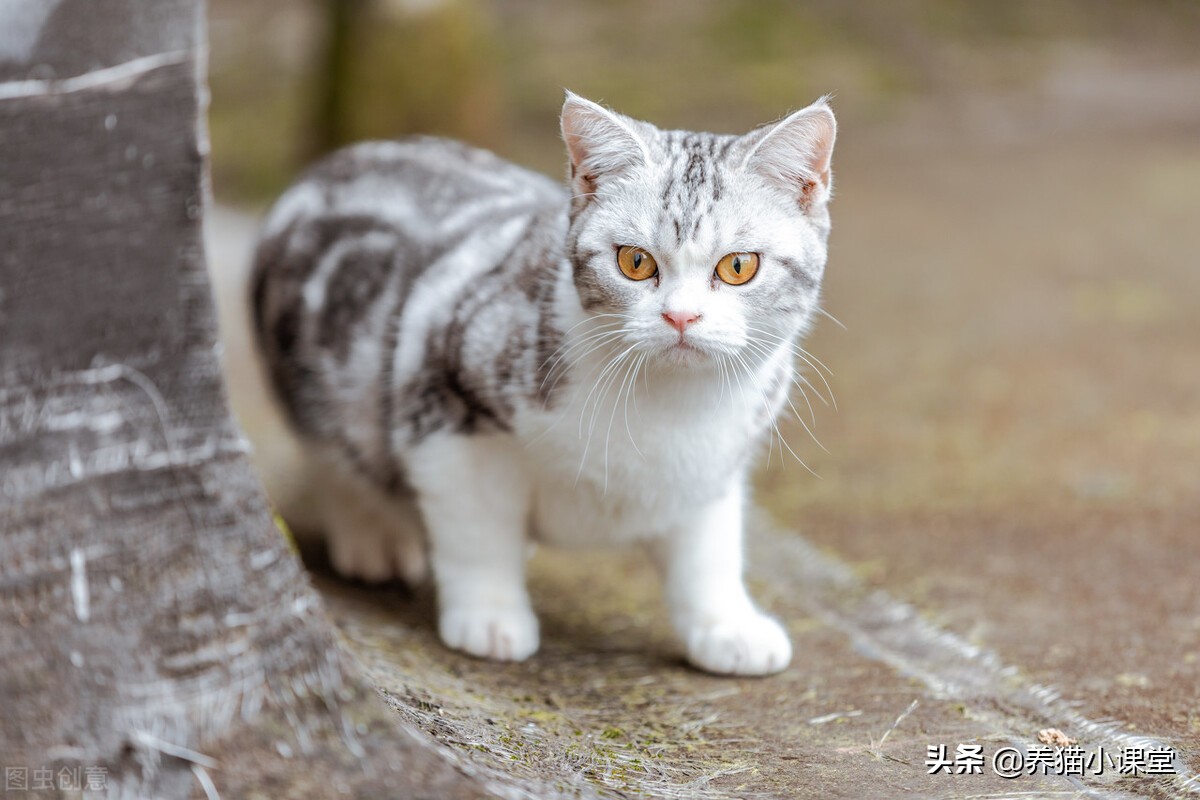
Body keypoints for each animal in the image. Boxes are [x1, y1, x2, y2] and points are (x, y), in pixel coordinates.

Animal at [250, 92, 835, 676]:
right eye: (635, 261)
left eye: (738, 266)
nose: (681, 317)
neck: (670, 403)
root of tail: (338, 159)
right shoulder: (448, 402)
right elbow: (478, 530)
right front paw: (489, 617)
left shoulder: (716, 463)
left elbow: (709, 549)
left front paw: (727, 626)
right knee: (333, 451)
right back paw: (373, 533)